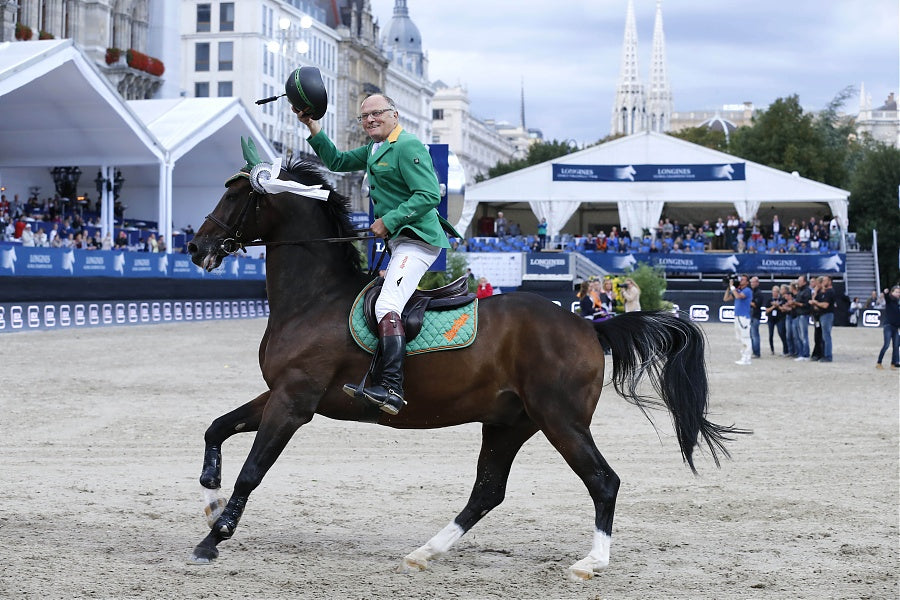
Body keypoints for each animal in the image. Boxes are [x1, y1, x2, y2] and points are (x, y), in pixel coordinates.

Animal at [185, 152, 744, 580]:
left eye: (236, 197)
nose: (195, 246)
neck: (315, 299)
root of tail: (589, 326)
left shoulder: (295, 401)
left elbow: (253, 471)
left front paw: (215, 538)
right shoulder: (281, 392)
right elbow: (217, 428)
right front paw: (210, 498)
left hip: (560, 420)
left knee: (603, 481)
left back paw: (592, 563)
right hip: (509, 423)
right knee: (488, 491)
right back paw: (424, 552)